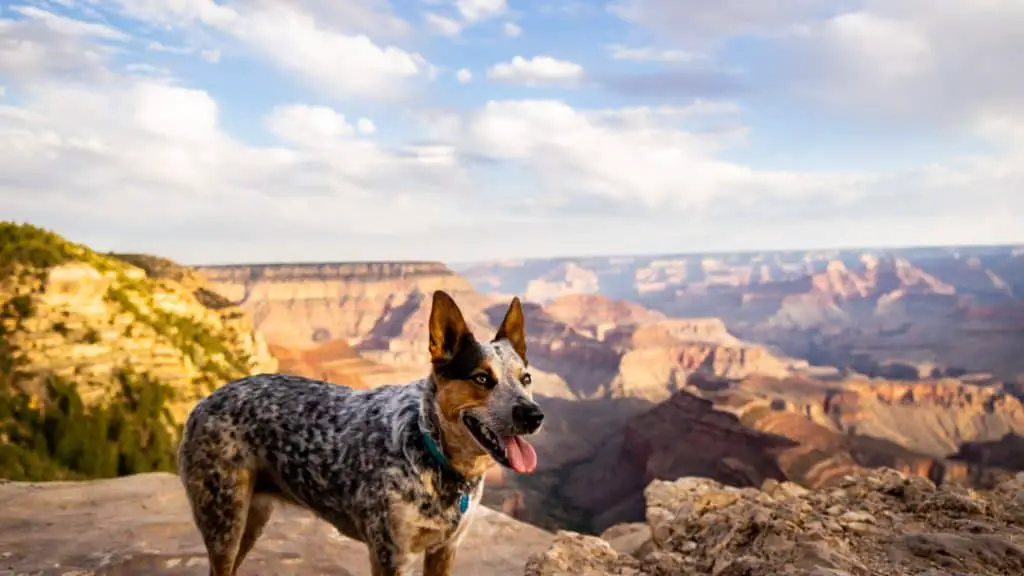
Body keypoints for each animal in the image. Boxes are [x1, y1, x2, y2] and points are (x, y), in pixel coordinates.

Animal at [176, 291, 544, 573]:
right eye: (481, 378)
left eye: (526, 378)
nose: (534, 415)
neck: (432, 451)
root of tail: (203, 401)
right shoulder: (389, 553)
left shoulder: (445, 550)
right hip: (224, 520)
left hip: (254, 517)